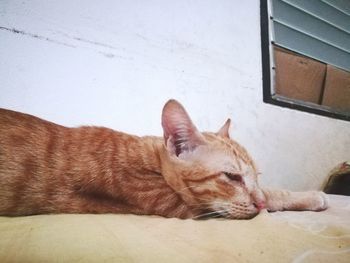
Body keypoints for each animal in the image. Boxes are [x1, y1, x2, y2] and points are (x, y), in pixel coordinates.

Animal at [0, 100, 328, 220]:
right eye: (232, 177)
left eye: (255, 176)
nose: (256, 203)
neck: (150, 160)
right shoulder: (188, 209)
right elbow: (272, 196)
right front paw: (310, 196)